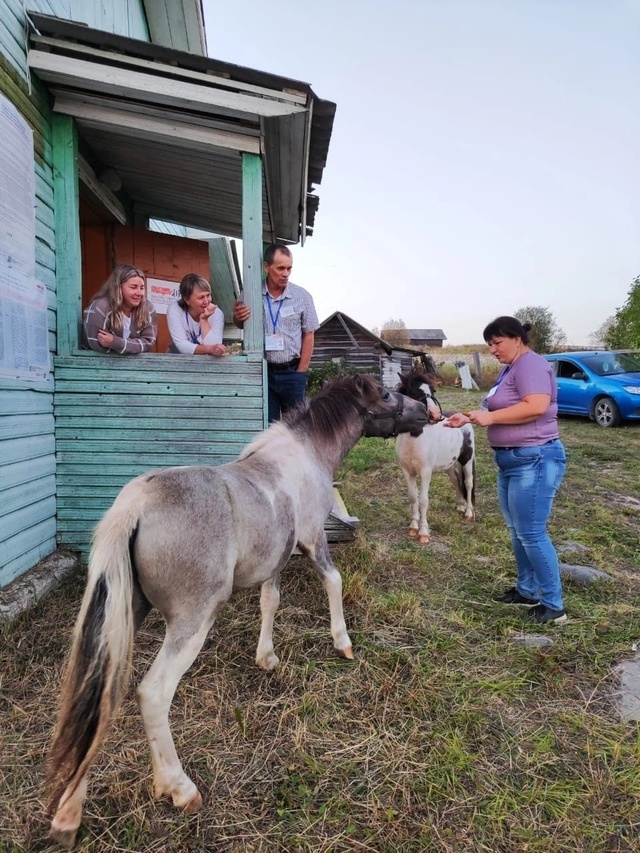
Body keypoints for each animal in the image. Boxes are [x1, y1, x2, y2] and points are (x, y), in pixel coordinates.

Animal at [45, 374, 424, 844]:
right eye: (386, 394)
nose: (426, 412)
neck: (305, 454)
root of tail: (133, 507)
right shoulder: (313, 539)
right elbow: (333, 583)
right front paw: (343, 642)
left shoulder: (275, 561)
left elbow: (270, 601)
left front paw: (267, 657)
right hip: (191, 624)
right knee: (152, 694)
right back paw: (179, 788)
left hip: (123, 620)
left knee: (98, 701)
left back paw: (70, 814)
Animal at [396, 368, 476, 544]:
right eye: (413, 392)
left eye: (433, 391)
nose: (435, 415)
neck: (415, 438)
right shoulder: (407, 471)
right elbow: (413, 498)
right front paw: (413, 527)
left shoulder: (425, 472)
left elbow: (423, 500)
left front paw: (423, 533)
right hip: (450, 466)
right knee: (456, 481)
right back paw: (460, 508)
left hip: (466, 461)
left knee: (468, 484)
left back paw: (468, 513)